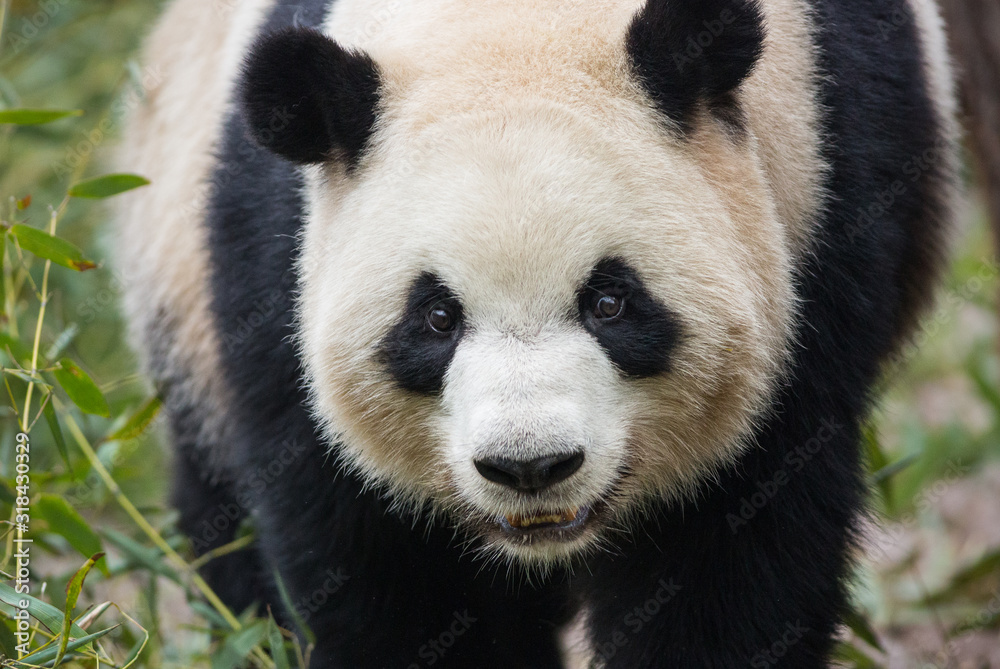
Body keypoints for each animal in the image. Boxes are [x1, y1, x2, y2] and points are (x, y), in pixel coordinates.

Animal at [114, 0, 959, 666]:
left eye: (610, 303)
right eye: (437, 316)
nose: (531, 466)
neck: (511, 24)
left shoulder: (825, 204)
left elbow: (739, 552)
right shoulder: (273, 263)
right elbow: (374, 561)